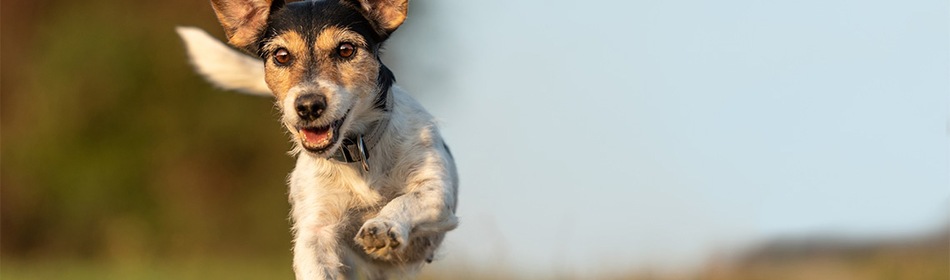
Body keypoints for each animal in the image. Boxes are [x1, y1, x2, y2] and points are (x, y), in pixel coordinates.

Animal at [178, 1, 462, 278]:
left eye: (346, 50)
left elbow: (405, 199)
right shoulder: (316, 228)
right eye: (281, 55)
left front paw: (382, 225)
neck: (359, 152)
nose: (308, 106)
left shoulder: (436, 192)